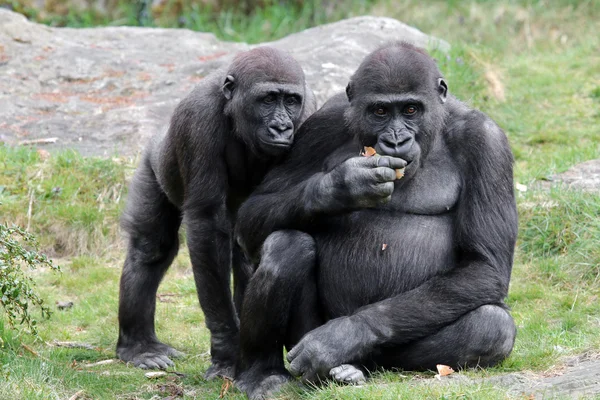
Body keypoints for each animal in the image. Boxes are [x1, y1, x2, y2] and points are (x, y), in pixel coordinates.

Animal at [115, 47, 316, 378]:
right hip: (152, 163)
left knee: (242, 255)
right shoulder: (198, 116)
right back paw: (138, 346)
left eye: (291, 101)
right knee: (150, 248)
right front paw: (226, 348)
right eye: (268, 99)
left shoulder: (309, 114)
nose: (281, 127)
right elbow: (207, 222)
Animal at [232, 42, 516, 398]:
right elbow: (253, 212)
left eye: (411, 110)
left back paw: (356, 361)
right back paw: (265, 373)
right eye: (380, 111)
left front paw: (343, 335)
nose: (395, 139)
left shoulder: (487, 142)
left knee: (491, 326)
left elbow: (484, 264)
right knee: (286, 245)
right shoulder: (321, 122)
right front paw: (342, 186)